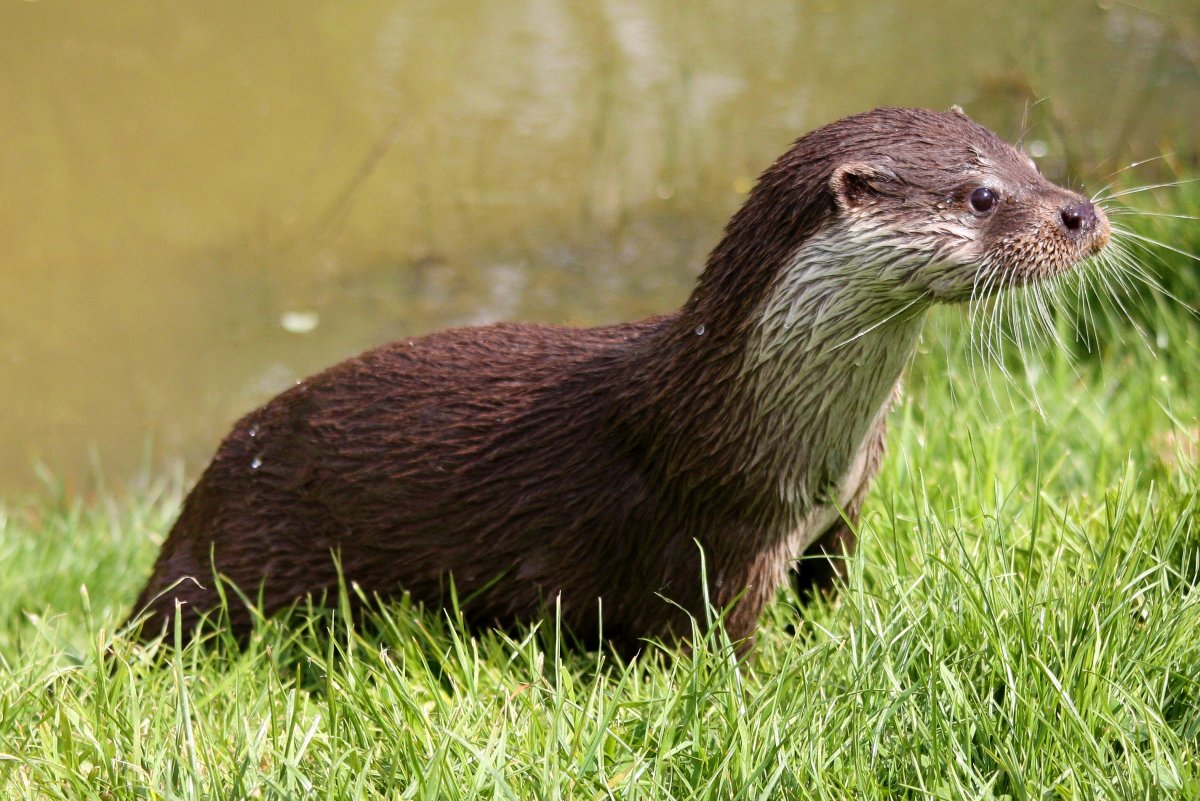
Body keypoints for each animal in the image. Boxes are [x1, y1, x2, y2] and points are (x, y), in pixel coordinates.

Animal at [128, 107, 1109, 653]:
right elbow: (716, 648)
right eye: (981, 196)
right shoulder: (720, 543)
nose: (1082, 212)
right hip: (237, 559)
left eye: (1032, 160)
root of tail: (198, 499)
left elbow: (833, 588)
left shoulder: (842, 516)